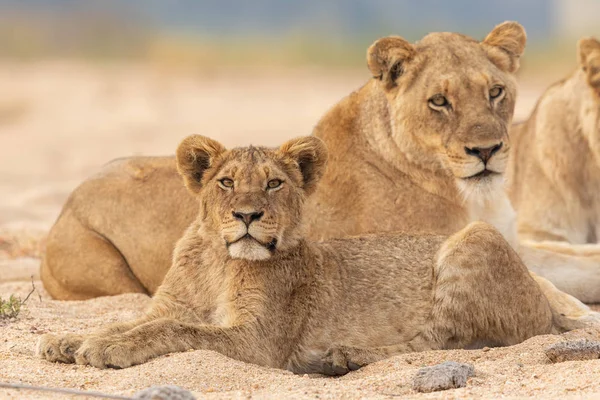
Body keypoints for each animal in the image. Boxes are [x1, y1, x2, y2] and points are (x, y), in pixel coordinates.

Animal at [38, 136, 576, 374]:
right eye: (226, 182)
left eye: (274, 183)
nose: (248, 215)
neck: (218, 262)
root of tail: (544, 304)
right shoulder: (168, 305)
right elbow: (130, 319)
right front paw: (71, 339)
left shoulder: (257, 342)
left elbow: (176, 331)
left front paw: (106, 349)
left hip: (474, 236)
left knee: (444, 341)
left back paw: (342, 358)